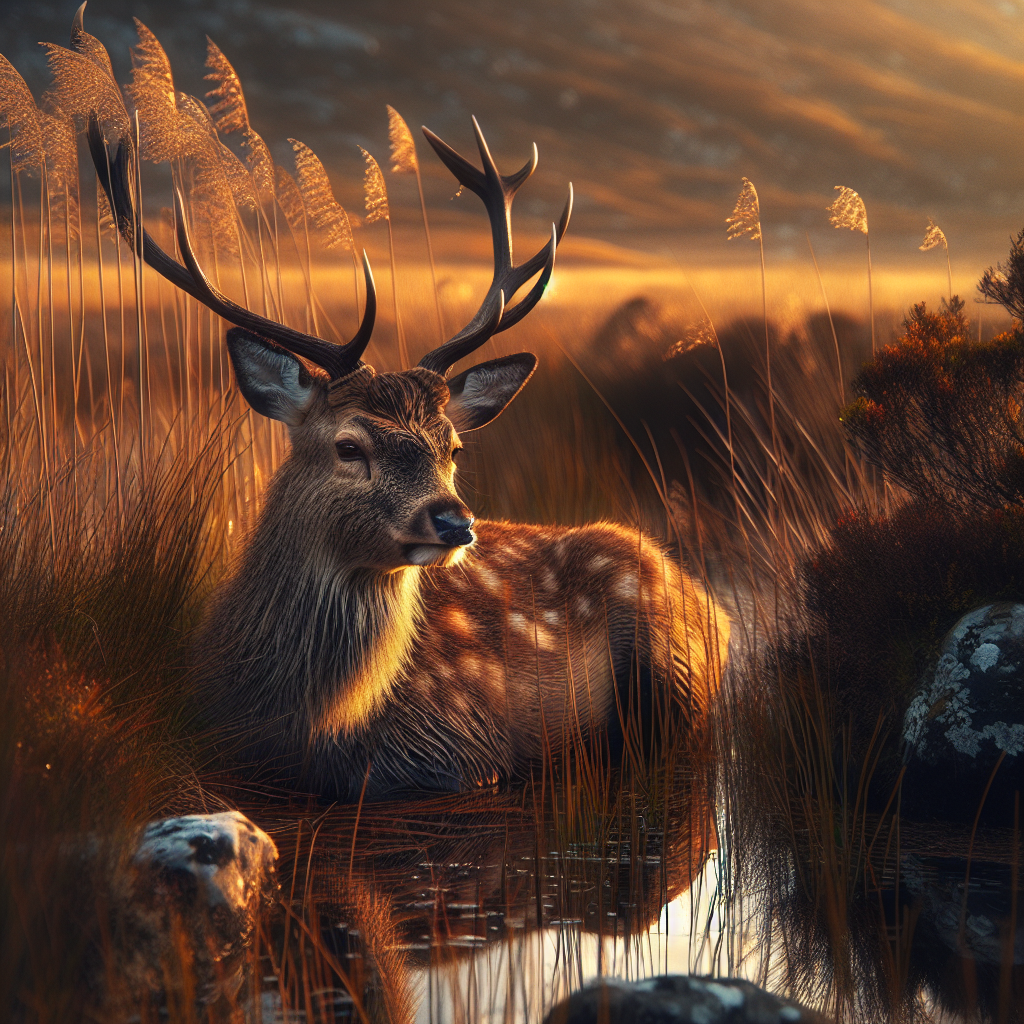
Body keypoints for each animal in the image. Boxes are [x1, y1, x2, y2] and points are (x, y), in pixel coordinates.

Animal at [89, 115, 729, 801]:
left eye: (454, 447)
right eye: (349, 446)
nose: (454, 521)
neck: (294, 720)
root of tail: (714, 607)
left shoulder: (464, 747)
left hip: (671, 662)